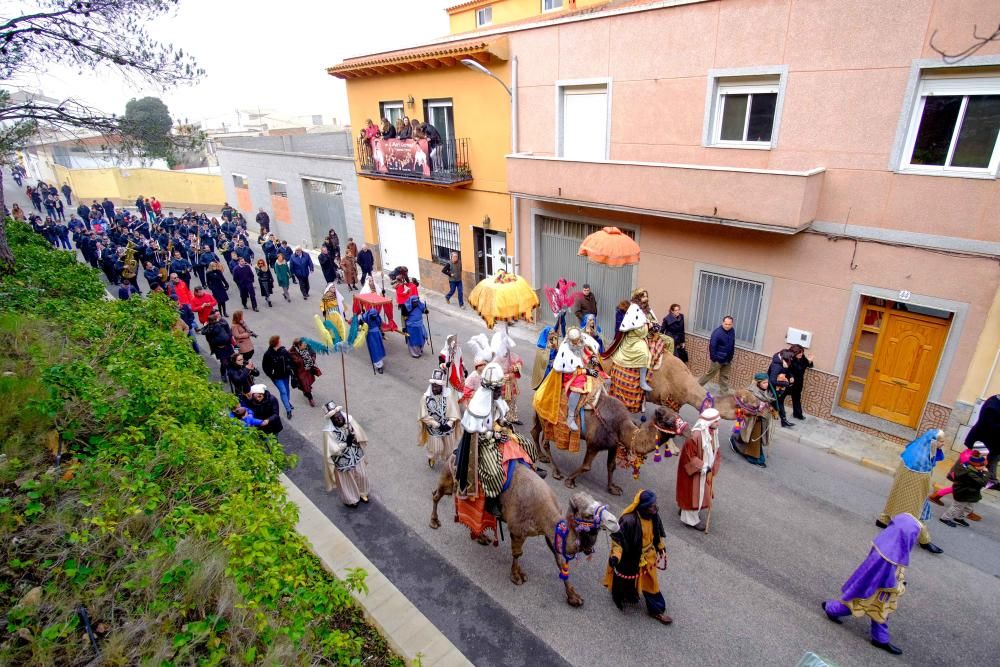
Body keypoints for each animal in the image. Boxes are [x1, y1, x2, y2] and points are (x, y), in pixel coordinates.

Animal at [430, 462, 616, 608]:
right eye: (588, 514)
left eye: (599, 504)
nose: (615, 522)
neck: (545, 512)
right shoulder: (517, 530)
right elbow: (517, 554)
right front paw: (517, 576)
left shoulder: (548, 533)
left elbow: (560, 561)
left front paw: (573, 596)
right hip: (450, 479)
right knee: (437, 494)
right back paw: (434, 521)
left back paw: (481, 537)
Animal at [528, 392, 684, 496]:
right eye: (669, 422)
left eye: (678, 417)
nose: (684, 428)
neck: (621, 426)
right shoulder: (594, 443)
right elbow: (586, 466)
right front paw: (570, 481)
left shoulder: (613, 445)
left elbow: (612, 465)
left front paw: (613, 488)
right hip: (549, 419)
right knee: (545, 442)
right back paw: (556, 472)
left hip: (542, 416)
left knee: (535, 431)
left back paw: (541, 457)